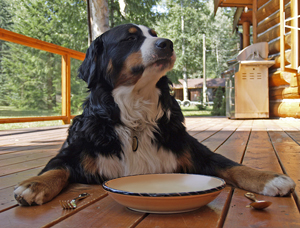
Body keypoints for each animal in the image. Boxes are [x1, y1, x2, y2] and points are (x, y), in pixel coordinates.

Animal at [14, 24, 296, 206]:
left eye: (155, 35)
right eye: (129, 39)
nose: (167, 44)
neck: (135, 116)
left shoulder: (194, 150)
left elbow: (232, 165)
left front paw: (269, 178)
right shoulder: (74, 151)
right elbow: (56, 169)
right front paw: (33, 184)